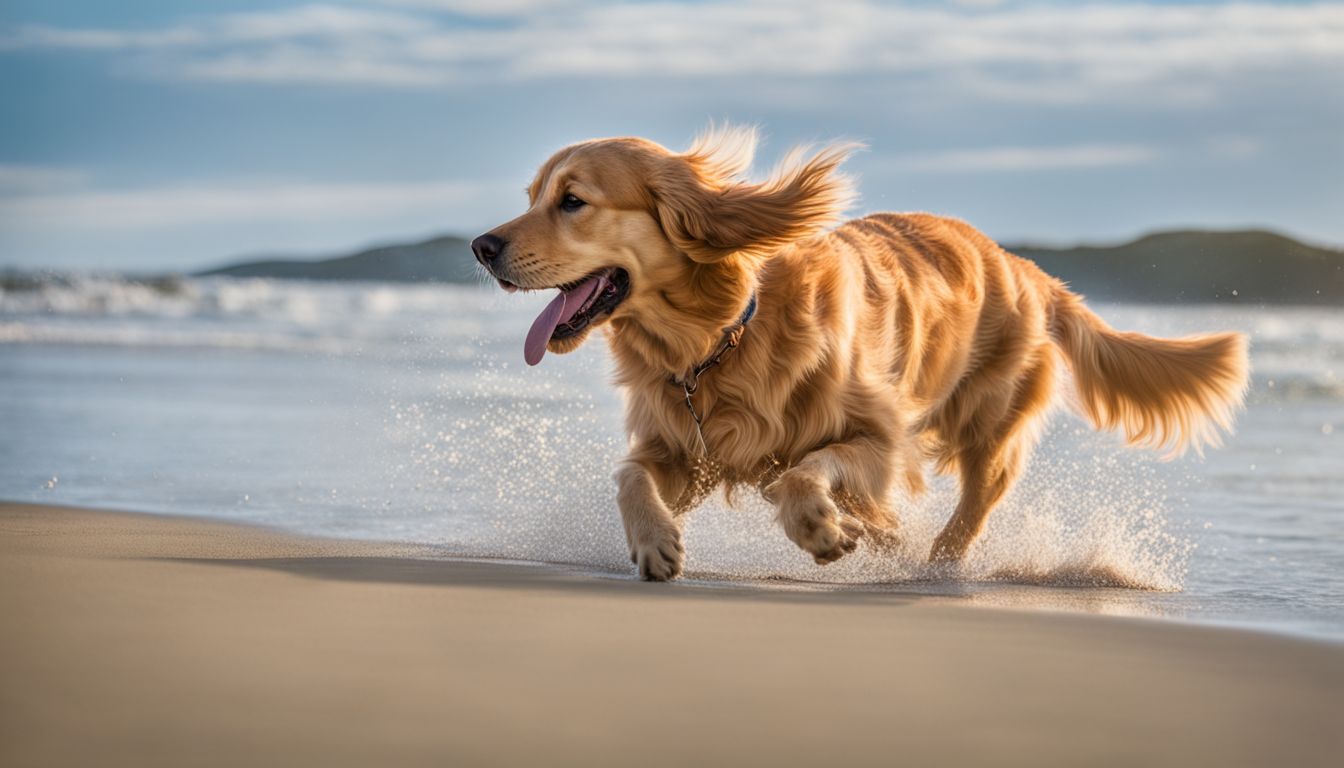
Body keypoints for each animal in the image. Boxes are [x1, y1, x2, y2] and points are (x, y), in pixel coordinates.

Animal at [473, 127, 1247, 583]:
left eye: (573, 201)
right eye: (534, 196)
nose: (482, 246)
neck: (721, 334)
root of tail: (1029, 271)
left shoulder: (882, 437)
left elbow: (802, 473)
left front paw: (818, 527)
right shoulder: (682, 443)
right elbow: (629, 474)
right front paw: (654, 543)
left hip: (988, 435)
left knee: (966, 518)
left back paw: (925, 565)